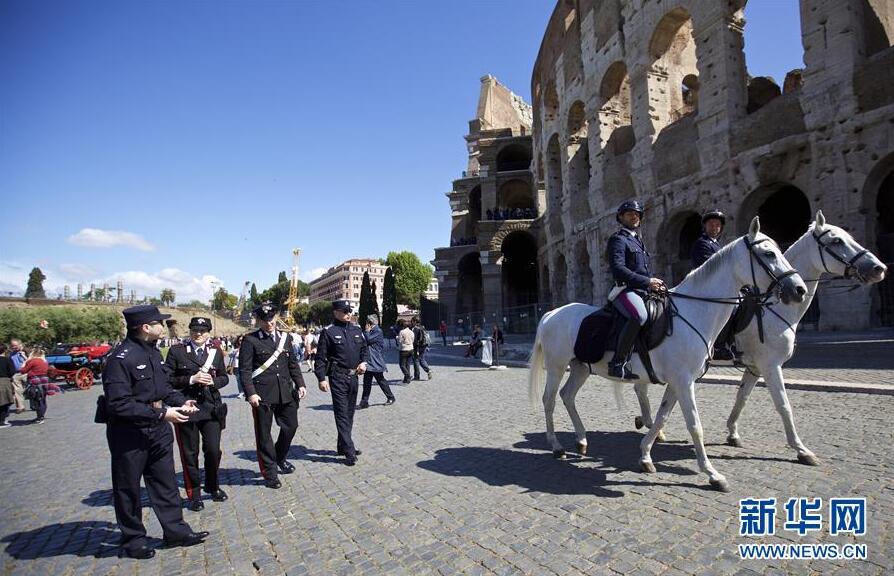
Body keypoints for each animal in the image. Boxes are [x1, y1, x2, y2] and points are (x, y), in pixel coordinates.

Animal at [528, 216, 808, 490]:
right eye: (769, 253)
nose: (799, 289)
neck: (694, 311)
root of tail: (552, 313)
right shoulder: (686, 381)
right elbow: (695, 425)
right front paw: (712, 474)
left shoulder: (678, 381)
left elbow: (662, 416)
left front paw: (645, 456)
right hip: (556, 366)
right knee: (549, 400)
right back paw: (556, 446)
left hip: (580, 367)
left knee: (567, 396)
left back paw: (582, 440)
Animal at [632, 212, 884, 464]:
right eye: (837, 241)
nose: (878, 268)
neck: (774, 308)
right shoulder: (770, 364)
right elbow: (783, 404)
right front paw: (801, 449)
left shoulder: (754, 367)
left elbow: (742, 397)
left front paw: (732, 433)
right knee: (641, 387)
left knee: (640, 387)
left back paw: (652, 427)